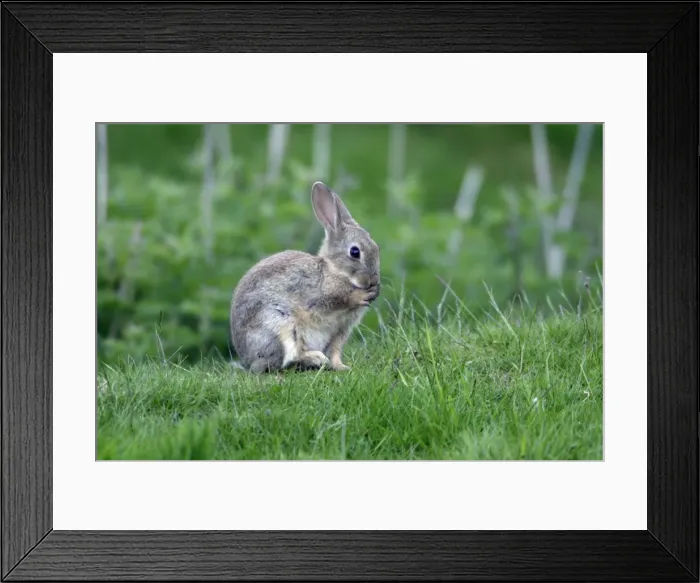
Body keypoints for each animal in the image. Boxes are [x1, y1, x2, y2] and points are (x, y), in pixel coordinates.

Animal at [229, 181, 381, 374]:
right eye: (355, 252)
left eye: (376, 248)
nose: (373, 281)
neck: (335, 270)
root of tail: (248, 362)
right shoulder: (317, 295)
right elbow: (333, 300)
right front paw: (361, 295)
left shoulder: (341, 331)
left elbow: (335, 352)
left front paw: (341, 367)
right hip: (279, 324)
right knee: (287, 359)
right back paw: (315, 358)